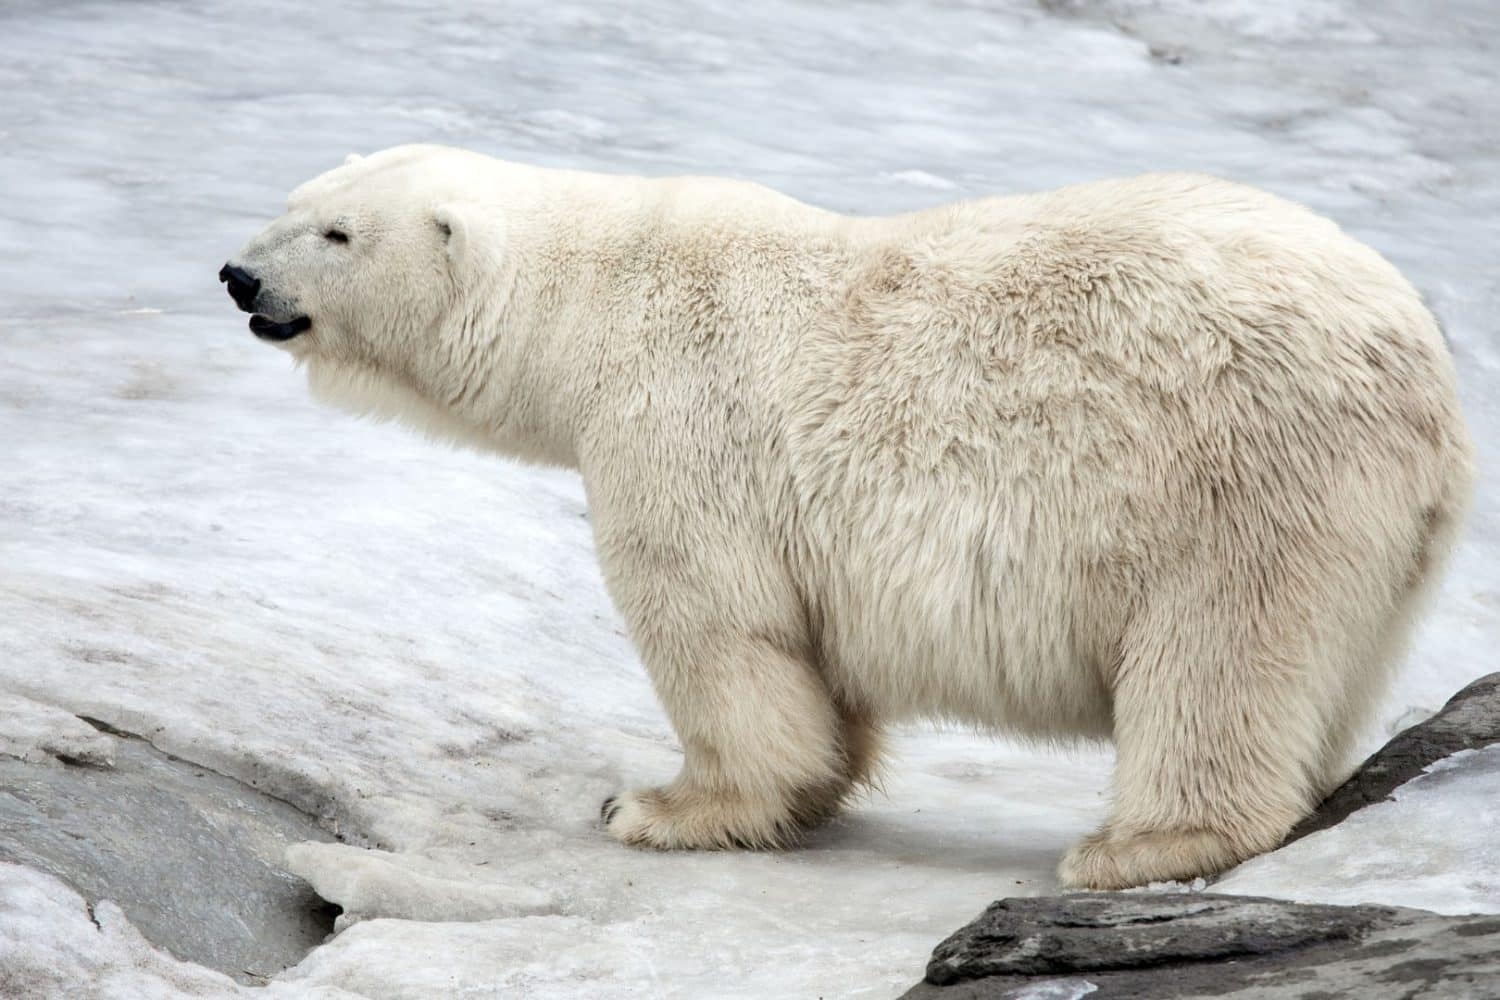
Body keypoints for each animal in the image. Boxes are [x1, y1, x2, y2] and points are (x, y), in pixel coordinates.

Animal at [221, 144, 1473, 889]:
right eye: (291, 205)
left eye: (335, 233)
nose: (238, 275)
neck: (599, 300)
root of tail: (1427, 374)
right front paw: (807, 787)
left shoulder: (679, 425)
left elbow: (719, 625)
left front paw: (661, 804)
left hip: (1240, 475)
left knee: (1219, 652)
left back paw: (1135, 844)